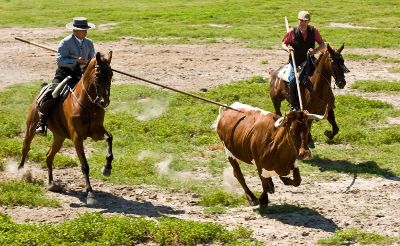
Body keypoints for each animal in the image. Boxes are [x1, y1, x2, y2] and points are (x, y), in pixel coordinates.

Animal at [19, 51, 114, 204]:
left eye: (111, 74)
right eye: (98, 74)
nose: (104, 101)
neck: (87, 105)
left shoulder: (96, 132)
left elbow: (110, 138)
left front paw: (107, 168)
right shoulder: (77, 138)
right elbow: (84, 165)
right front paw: (90, 193)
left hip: (59, 137)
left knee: (49, 156)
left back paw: (51, 183)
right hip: (31, 128)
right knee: (26, 148)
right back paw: (21, 171)